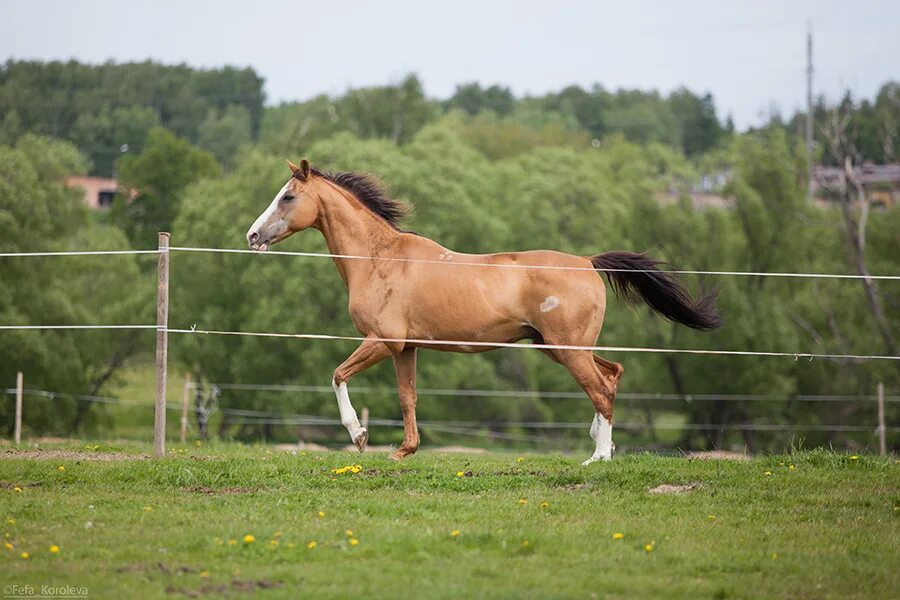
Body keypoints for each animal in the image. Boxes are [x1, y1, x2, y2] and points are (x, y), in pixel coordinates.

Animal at [243, 159, 720, 464]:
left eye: (288, 197)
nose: (252, 236)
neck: (380, 259)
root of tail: (587, 263)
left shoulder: (382, 341)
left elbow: (338, 375)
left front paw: (359, 436)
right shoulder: (405, 348)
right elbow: (407, 397)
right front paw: (404, 450)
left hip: (568, 349)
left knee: (601, 389)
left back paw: (598, 458)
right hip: (558, 347)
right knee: (613, 375)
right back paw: (600, 443)